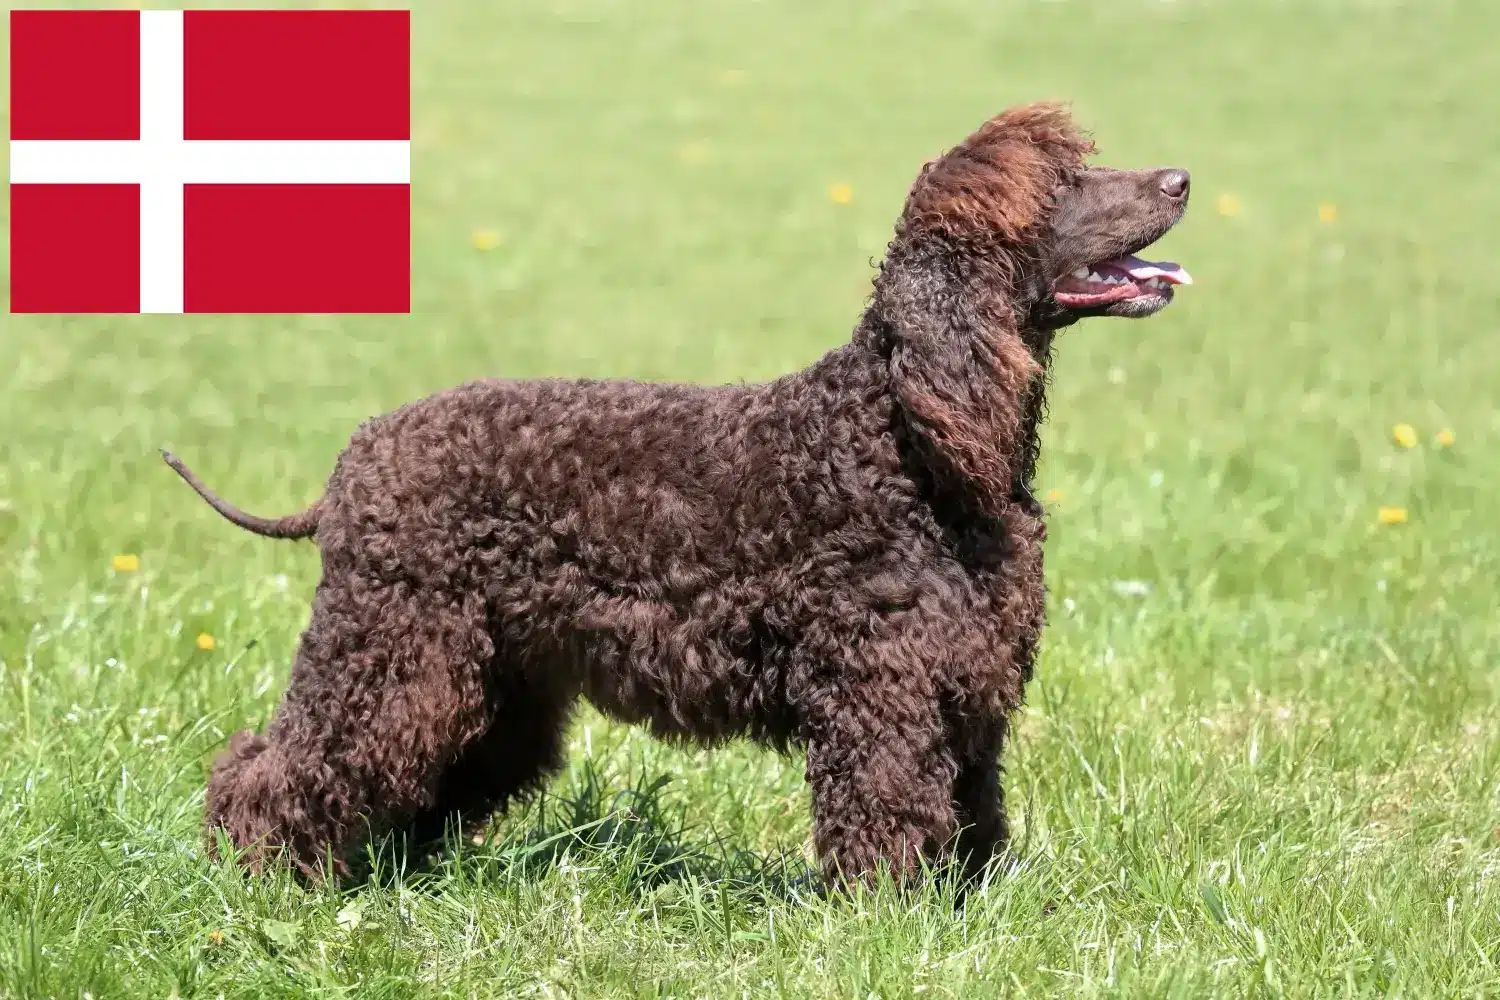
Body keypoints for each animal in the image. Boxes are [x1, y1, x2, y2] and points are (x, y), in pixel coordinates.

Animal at [164, 101, 1194, 881]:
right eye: (1062, 187)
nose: (1182, 178)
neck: (906, 440)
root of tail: (355, 459)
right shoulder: (881, 690)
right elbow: (890, 812)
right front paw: (889, 922)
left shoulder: (967, 687)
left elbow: (973, 814)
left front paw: (967, 907)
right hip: (393, 646)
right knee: (280, 766)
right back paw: (261, 879)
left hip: (492, 685)